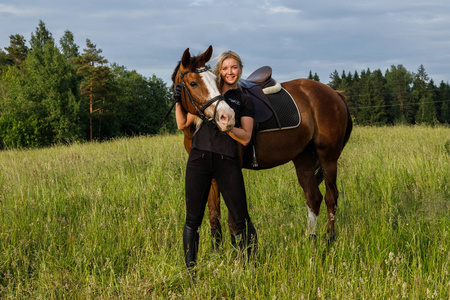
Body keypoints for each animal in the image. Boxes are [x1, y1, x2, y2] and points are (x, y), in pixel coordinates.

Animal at [172, 45, 352, 245]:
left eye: (215, 81)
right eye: (193, 83)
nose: (227, 117)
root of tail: (335, 94)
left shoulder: (230, 168)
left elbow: (234, 221)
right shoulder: (211, 170)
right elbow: (214, 217)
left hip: (328, 158)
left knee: (331, 197)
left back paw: (330, 238)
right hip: (303, 158)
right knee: (313, 198)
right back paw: (310, 240)